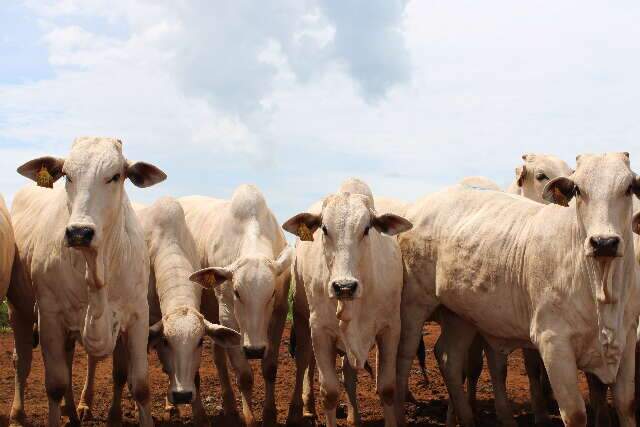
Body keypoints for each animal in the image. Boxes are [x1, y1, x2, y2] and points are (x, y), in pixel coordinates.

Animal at [181, 186, 294, 427]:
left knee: (218, 357)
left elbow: (269, 368)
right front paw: (249, 418)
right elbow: (244, 375)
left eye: (271, 294)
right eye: (236, 292)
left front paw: (269, 415)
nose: (255, 350)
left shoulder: (280, 312)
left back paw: (230, 407)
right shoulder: (227, 315)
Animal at [284, 179, 412, 426]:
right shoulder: (320, 330)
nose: (344, 286)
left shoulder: (391, 328)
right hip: (301, 317)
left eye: (367, 228)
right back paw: (302, 409)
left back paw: (354, 417)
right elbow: (330, 392)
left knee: (348, 373)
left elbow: (387, 388)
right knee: (304, 361)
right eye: (324, 229)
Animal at [396, 154, 640, 427]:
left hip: (460, 315)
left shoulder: (627, 338)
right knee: (403, 358)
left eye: (629, 187)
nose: (604, 243)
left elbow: (626, 405)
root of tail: (416, 208)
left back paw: (468, 418)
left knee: (450, 359)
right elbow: (575, 414)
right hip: (413, 305)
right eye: (578, 189)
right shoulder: (553, 343)